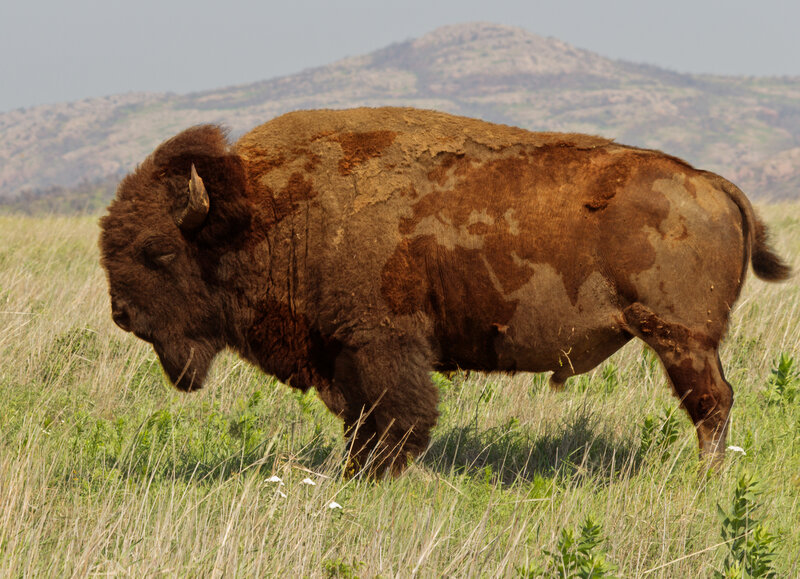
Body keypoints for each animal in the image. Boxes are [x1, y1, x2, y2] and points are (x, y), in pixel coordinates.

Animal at [100, 107, 790, 476]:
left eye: (157, 250)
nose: (122, 314)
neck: (261, 210)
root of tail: (709, 182)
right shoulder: (345, 357)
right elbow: (361, 423)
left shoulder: (380, 347)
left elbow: (398, 419)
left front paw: (371, 479)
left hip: (680, 339)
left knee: (711, 403)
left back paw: (704, 478)